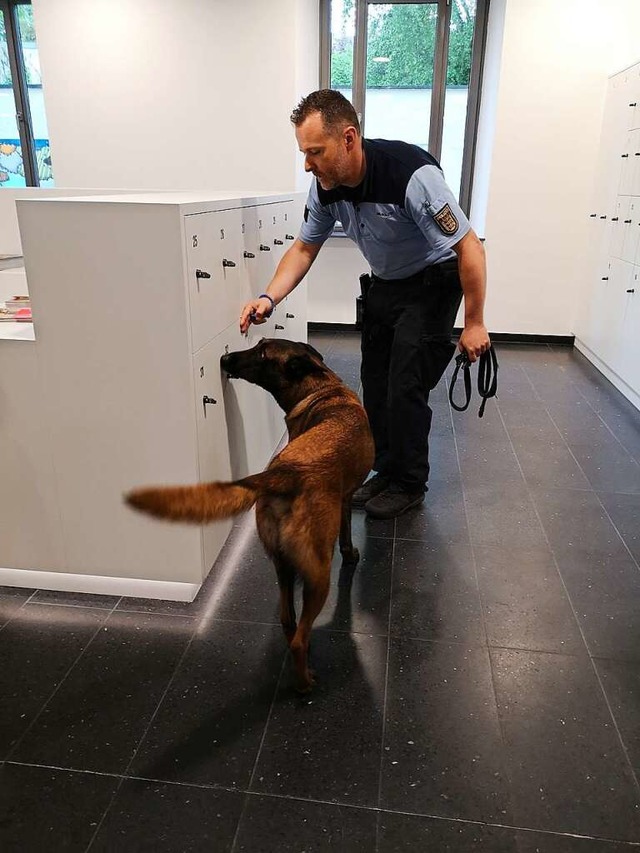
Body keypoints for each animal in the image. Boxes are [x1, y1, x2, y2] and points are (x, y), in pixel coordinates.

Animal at [125, 336, 372, 688]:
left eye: (263, 352)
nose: (224, 359)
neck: (321, 388)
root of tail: (283, 473)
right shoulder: (346, 499)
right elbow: (347, 531)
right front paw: (351, 554)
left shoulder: (344, 498)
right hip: (320, 576)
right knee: (299, 637)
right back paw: (306, 683)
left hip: (282, 564)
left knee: (287, 620)